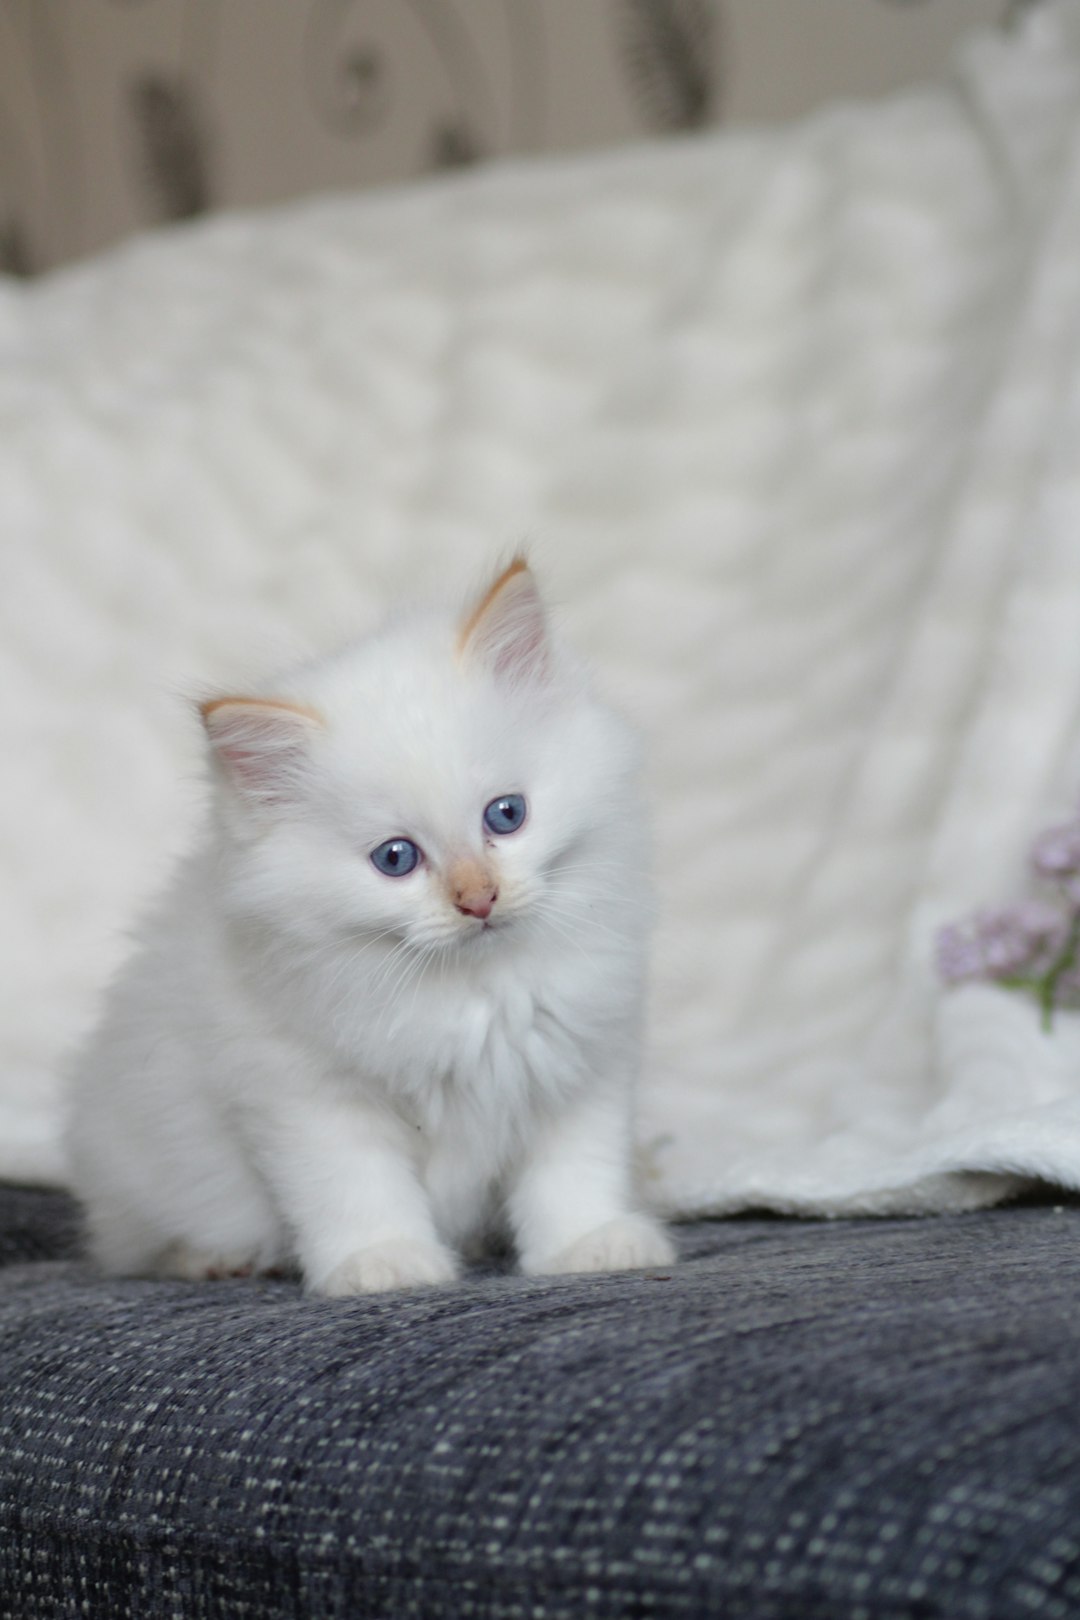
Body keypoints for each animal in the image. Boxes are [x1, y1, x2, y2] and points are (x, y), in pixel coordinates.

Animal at [65, 563, 676, 1296]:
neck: (477, 994)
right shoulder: (306, 1092)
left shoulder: (581, 1059)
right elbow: (356, 1188)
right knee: (142, 1244)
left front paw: (589, 1244)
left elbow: (574, 1172)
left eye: (506, 815)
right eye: (396, 859)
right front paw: (383, 1263)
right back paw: (216, 1259)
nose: (479, 899)